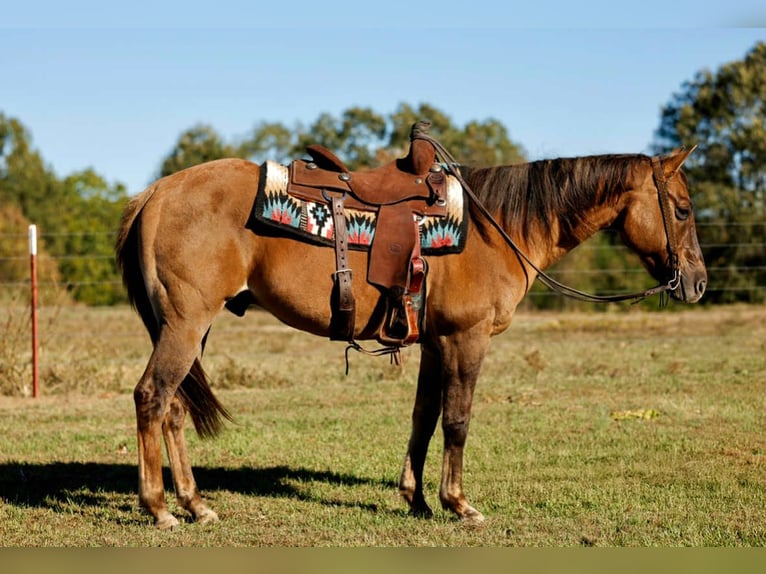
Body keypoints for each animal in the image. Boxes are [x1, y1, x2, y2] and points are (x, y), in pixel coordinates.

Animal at [115, 141, 706, 529]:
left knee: (173, 407)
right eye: (681, 209)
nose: (698, 282)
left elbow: (424, 417)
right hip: (186, 323)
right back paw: (159, 508)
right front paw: (459, 503)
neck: (495, 230)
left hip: (189, 327)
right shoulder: (467, 338)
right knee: (151, 397)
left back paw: (195, 504)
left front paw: (416, 498)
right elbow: (458, 419)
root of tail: (155, 193)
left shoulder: (435, 342)